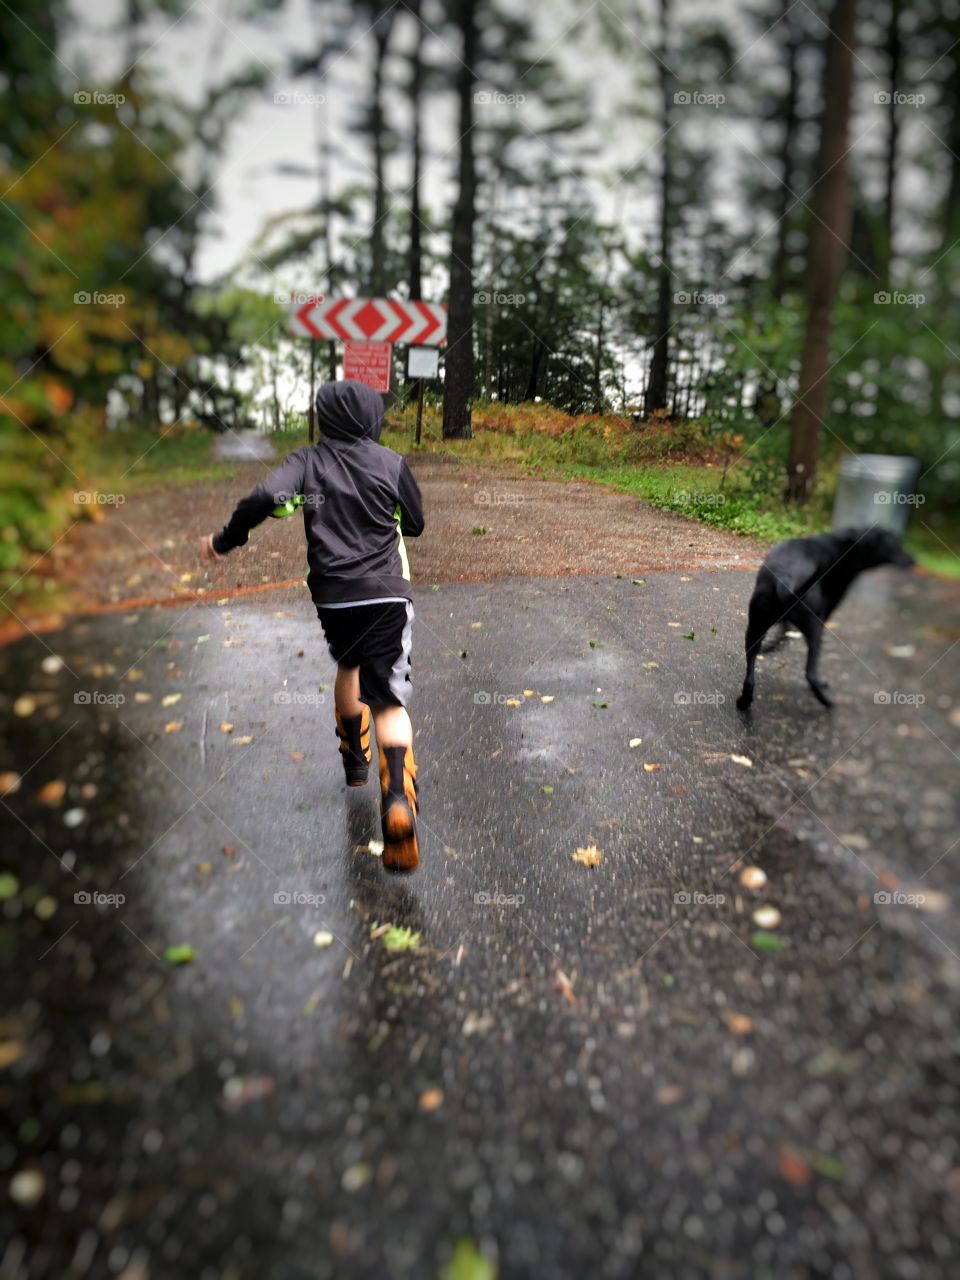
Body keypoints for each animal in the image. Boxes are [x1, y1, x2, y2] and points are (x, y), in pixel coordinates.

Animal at [737, 527, 916, 711]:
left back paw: (744, 702)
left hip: (754, 627)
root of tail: (784, 580)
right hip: (814, 629)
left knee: (750, 674)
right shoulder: (825, 612)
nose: (913, 561)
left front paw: (772, 645)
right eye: (895, 546)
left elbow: (784, 628)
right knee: (810, 673)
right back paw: (826, 701)